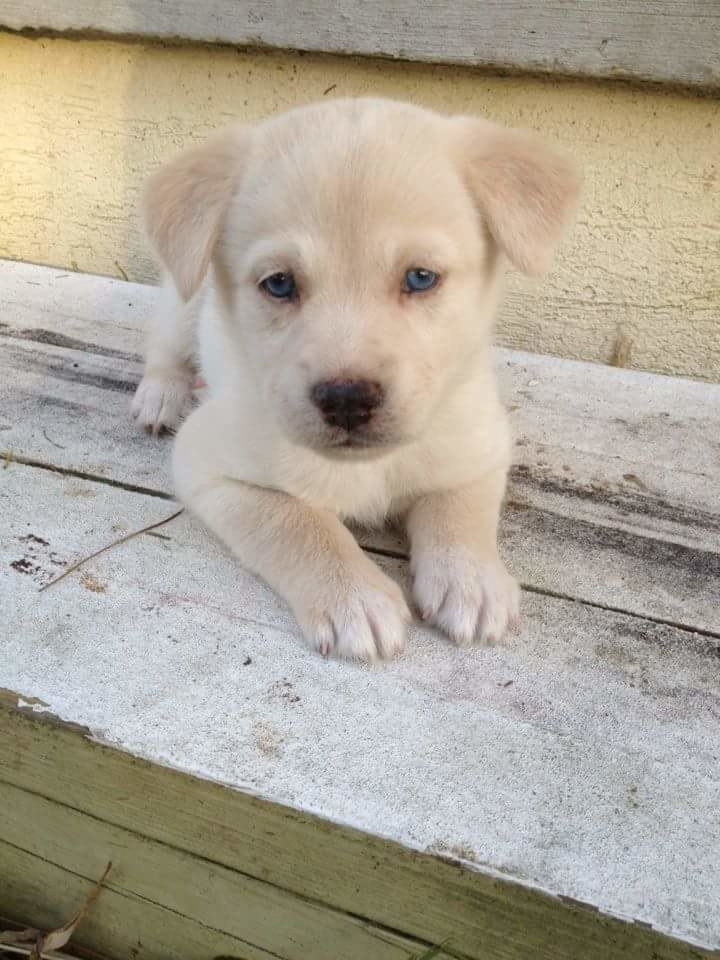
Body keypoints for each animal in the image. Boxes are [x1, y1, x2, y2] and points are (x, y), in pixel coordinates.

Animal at [129, 101, 580, 664]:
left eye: (421, 278)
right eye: (279, 283)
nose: (346, 401)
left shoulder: (480, 445)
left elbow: (460, 508)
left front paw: (471, 581)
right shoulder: (210, 467)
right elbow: (296, 521)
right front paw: (354, 598)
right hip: (183, 301)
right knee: (164, 346)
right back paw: (159, 396)